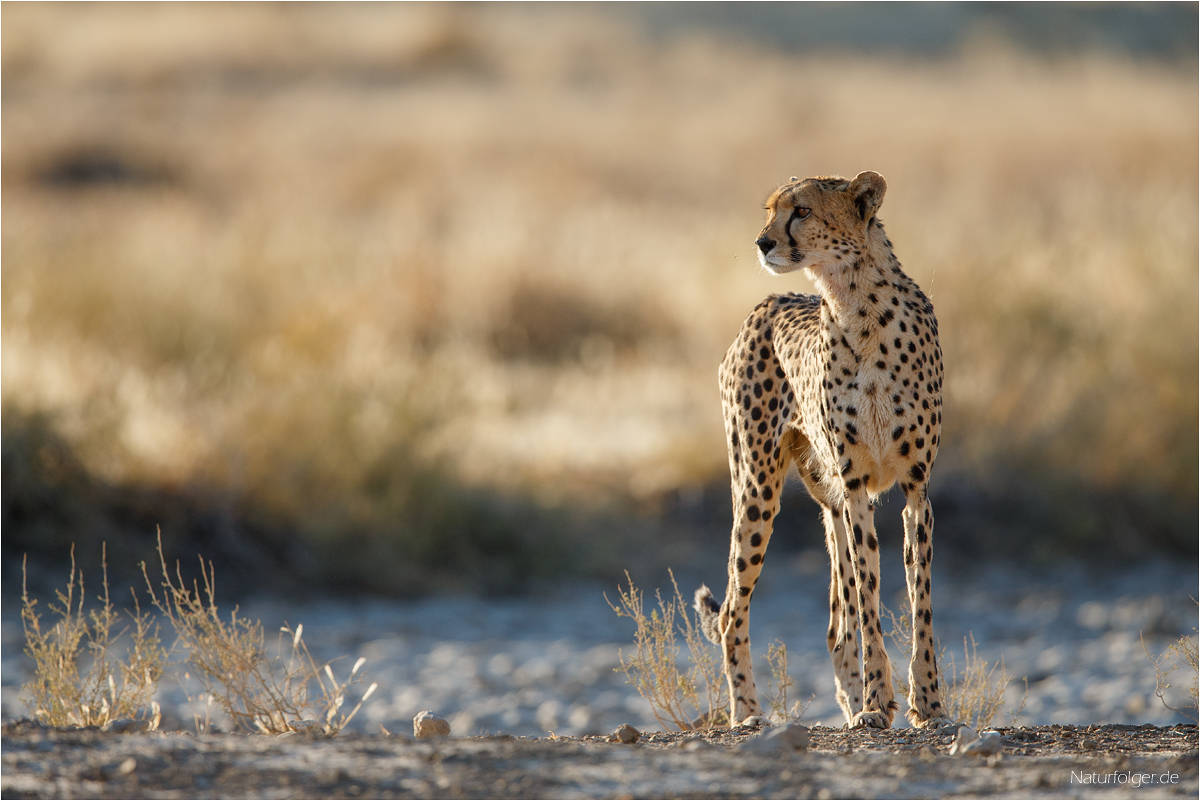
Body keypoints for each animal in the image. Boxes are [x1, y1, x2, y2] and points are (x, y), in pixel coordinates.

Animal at [700, 172, 950, 729]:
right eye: (771, 210)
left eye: (802, 211)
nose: (762, 242)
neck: (855, 305)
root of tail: (766, 304)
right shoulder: (856, 487)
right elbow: (871, 598)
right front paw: (878, 703)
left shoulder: (915, 488)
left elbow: (920, 599)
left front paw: (927, 704)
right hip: (757, 487)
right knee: (731, 612)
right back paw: (748, 713)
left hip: (826, 498)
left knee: (837, 627)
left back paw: (850, 703)